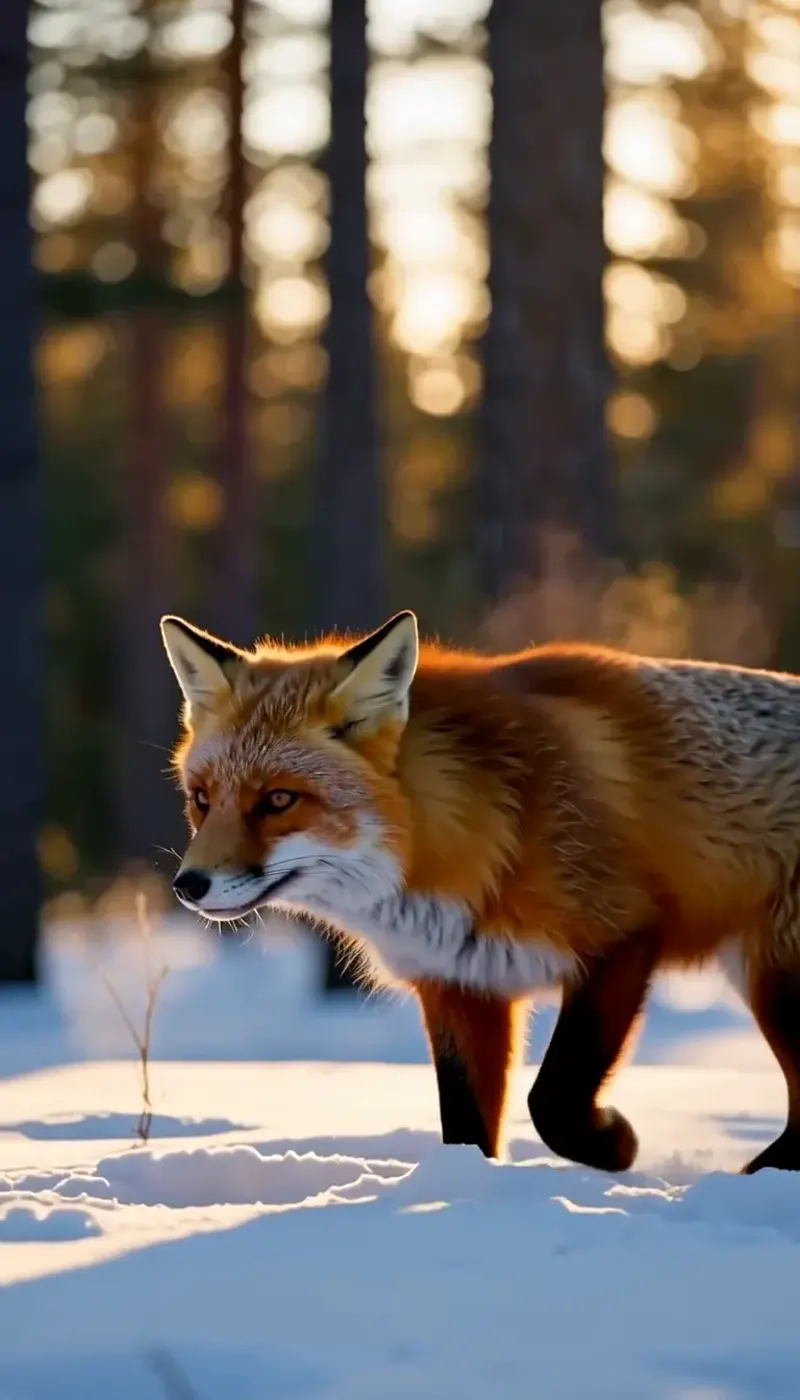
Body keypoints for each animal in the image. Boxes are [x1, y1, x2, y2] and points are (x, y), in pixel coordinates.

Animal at [160, 608, 800, 1175]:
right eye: (202, 799)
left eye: (278, 800)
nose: (188, 886)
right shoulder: (462, 984)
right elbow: (468, 1128)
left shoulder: (620, 938)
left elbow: (551, 1101)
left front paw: (613, 1145)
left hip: (777, 985)